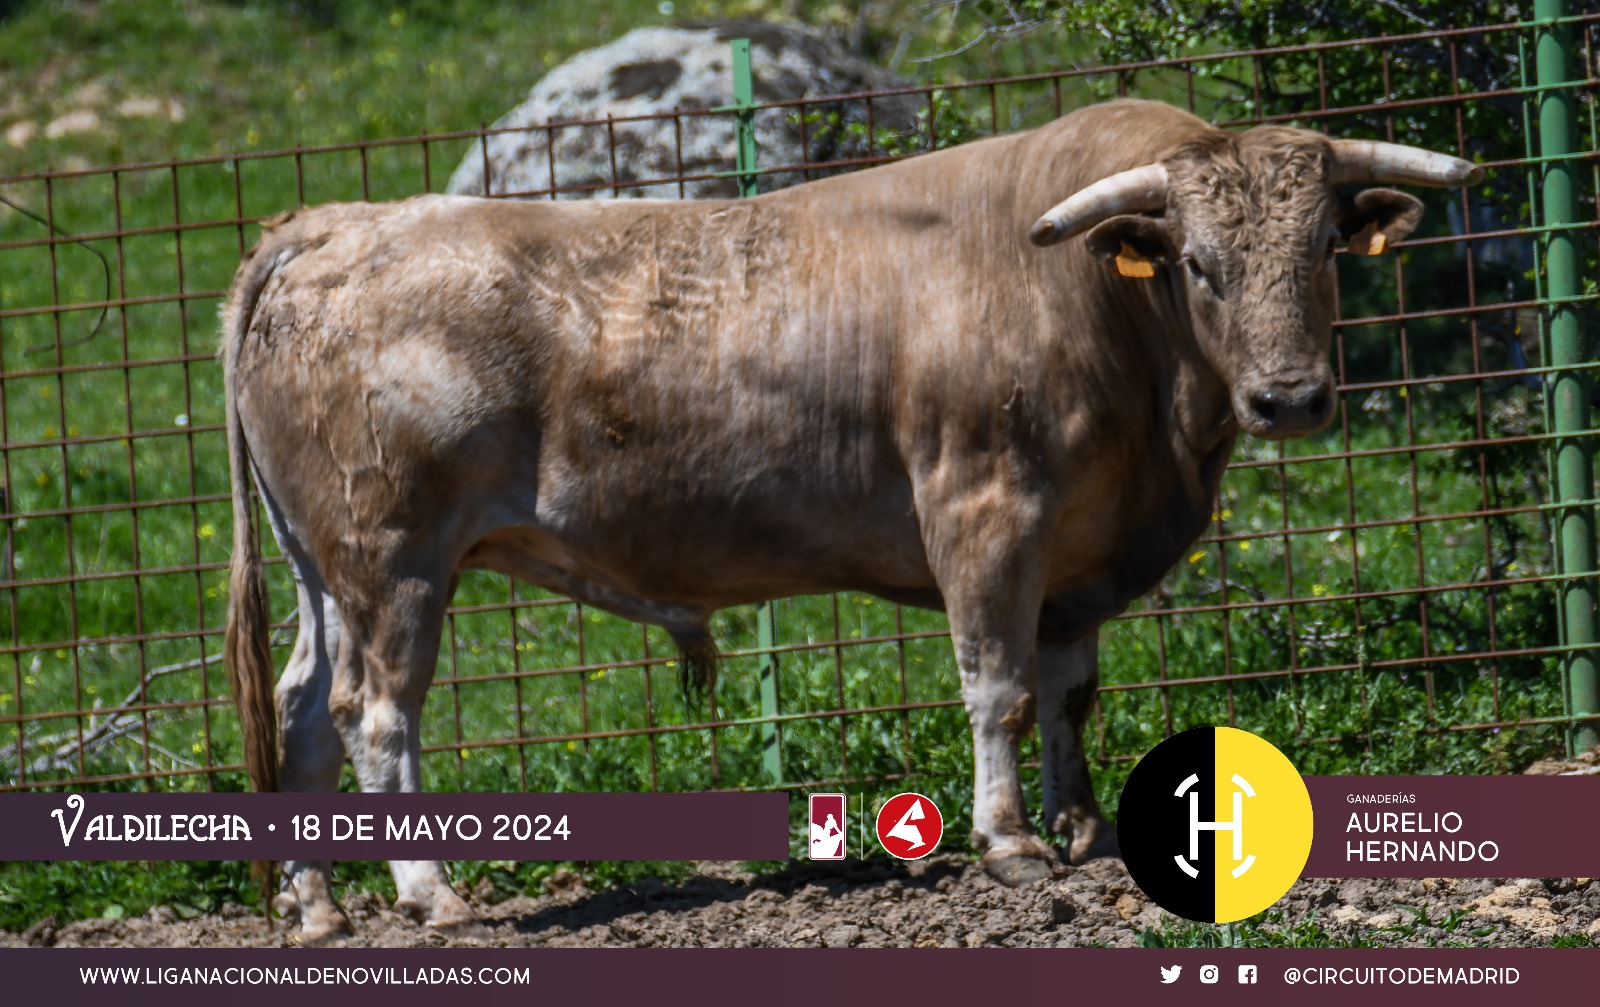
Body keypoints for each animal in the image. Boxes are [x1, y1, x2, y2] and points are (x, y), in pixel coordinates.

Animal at [221, 98, 1479, 942]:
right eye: (1201, 265)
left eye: (1323, 251)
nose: (1290, 398)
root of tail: (331, 222)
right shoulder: (985, 509)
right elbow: (998, 684)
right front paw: (1011, 840)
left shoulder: (1078, 548)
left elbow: (1067, 691)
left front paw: (1079, 826)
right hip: (393, 558)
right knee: (375, 713)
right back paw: (430, 891)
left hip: (325, 567)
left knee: (304, 712)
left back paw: (319, 904)